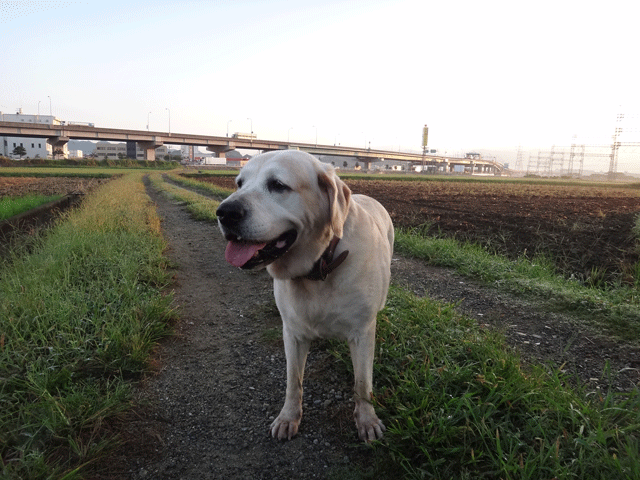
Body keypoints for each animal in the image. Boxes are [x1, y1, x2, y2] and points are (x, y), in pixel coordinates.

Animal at [218, 150, 392, 442]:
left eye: (278, 185)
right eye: (239, 184)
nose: (224, 213)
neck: (319, 266)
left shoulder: (362, 332)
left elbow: (362, 383)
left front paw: (367, 420)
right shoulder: (292, 332)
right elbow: (293, 381)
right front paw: (289, 417)